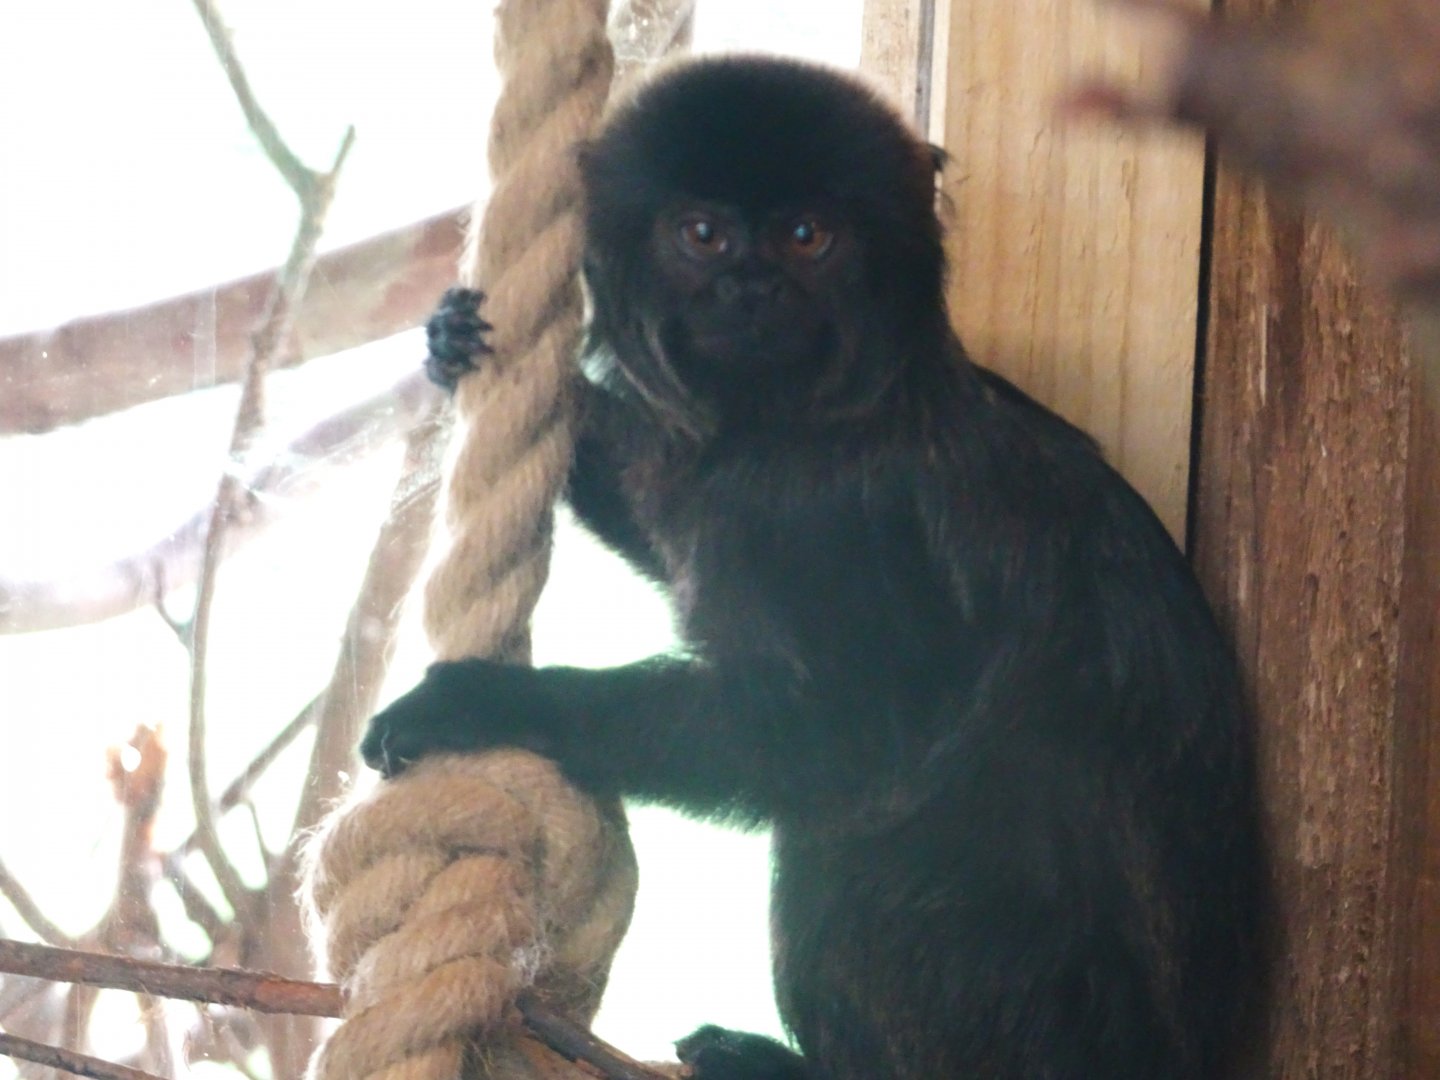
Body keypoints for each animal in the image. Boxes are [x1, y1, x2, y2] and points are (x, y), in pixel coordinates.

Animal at [363, 56, 1265, 1080]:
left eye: (807, 236)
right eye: (703, 234)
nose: (751, 287)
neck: (795, 420)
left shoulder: (826, 522)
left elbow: (847, 739)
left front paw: (485, 704)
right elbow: (656, 502)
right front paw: (459, 351)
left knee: (850, 840)